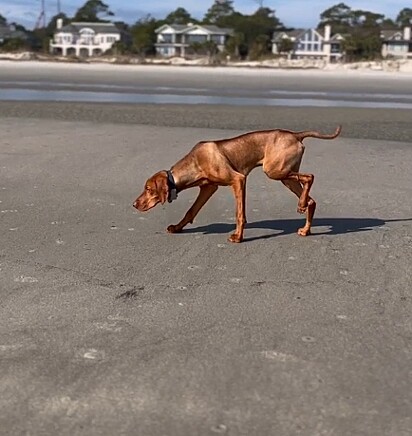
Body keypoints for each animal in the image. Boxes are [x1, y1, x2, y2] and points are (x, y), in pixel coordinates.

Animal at [133, 124, 342, 244]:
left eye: (148, 189)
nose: (134, 204)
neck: (195, 162)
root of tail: (295, 134)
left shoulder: (238, 180)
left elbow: (239, 213)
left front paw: (238, 237)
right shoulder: (208, 187)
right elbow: (191, 211)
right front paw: (177, 228)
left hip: (274, 171)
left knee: (310, 176)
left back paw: (301, 204)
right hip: (284, 176)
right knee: (312, 199)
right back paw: (305, 225)